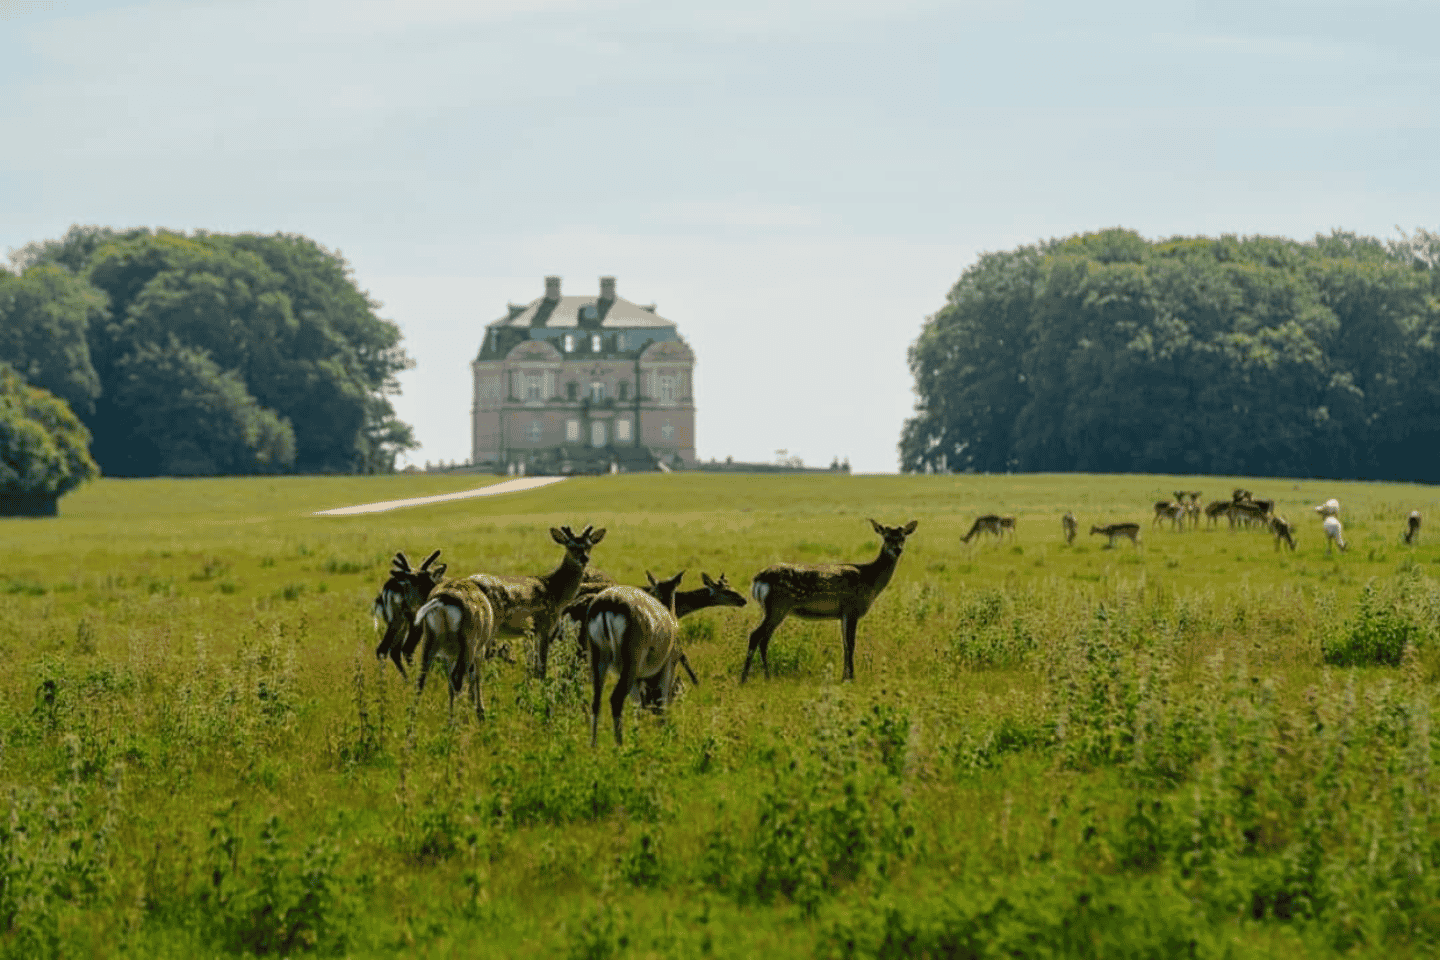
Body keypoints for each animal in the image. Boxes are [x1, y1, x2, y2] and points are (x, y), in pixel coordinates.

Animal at [398, 525, 606, 679]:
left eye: (589, 545)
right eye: (570, 545)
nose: (584, 558)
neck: (555, 590)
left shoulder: (533, 633)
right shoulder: (544, 625)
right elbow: (541, 666)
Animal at [410, 576, 497, 721]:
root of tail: (442, 600)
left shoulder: (449, 656)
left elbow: (450, 684)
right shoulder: (479, 650)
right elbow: (476, 677)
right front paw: (480, 712)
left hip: (429, 641)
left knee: (421, 680)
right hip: (469, 645)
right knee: (458, 679)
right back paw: (462, 719)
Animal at [584, 571, 686, 747]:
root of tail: (607, 603)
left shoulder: (638, 678)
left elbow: (637, 705)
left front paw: (637, 737)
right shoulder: (668, 666)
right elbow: (662, 701)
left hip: (598, 657)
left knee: (596, 701)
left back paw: (594, 747)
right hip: (630, 662)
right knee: (616, 699)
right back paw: (620, 745)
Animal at [741, 518, 918, 684]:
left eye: (903, 537)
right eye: (886, 537)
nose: (897, 549)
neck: (870, 578)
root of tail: (758, 579)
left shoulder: (843, 614)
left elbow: (845, 644)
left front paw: (844, 677)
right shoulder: (851, 609)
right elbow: (851, 644)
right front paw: (851, 678)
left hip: (774, 609)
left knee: (764, 639)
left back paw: (766, 676)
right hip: (777, 606)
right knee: (756, 635)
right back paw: (744, 678)